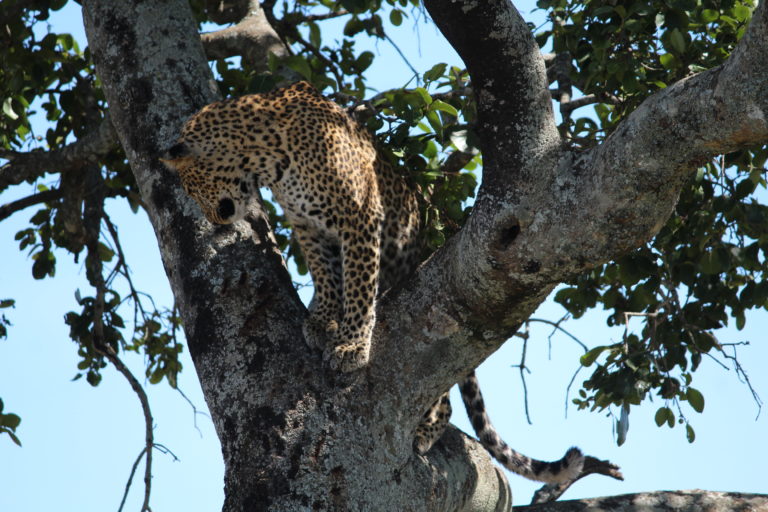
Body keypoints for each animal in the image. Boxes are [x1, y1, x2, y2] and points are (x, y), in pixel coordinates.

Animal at [160, 81, 584, 484]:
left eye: (191, 186)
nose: (213, 220)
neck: (265, 156)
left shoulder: (359, 216)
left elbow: (359, 287)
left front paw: (351, 345)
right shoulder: (306, 226)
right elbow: (326, 275)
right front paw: (325, 320)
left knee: (444, 398)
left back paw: (426, 430)